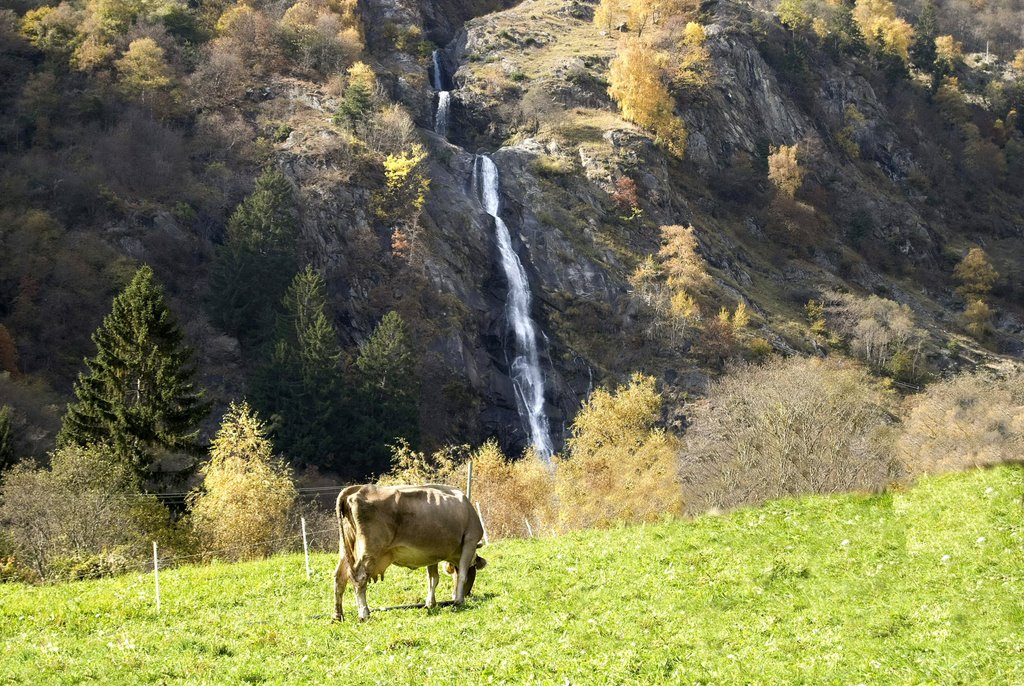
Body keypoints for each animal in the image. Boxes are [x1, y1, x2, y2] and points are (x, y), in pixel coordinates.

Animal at [329, 483, 485, 622]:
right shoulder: (470, 541)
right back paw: (364, 613)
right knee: (360, 578)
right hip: (370, 551)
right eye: (474, 571)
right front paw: (459, 600)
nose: (468, 594)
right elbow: (462, 575)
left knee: (339, 577)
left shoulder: (432, 553)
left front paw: (431, 603)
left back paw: (338, 615)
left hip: (345, 549)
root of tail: (358, 488)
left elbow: (433, 579)